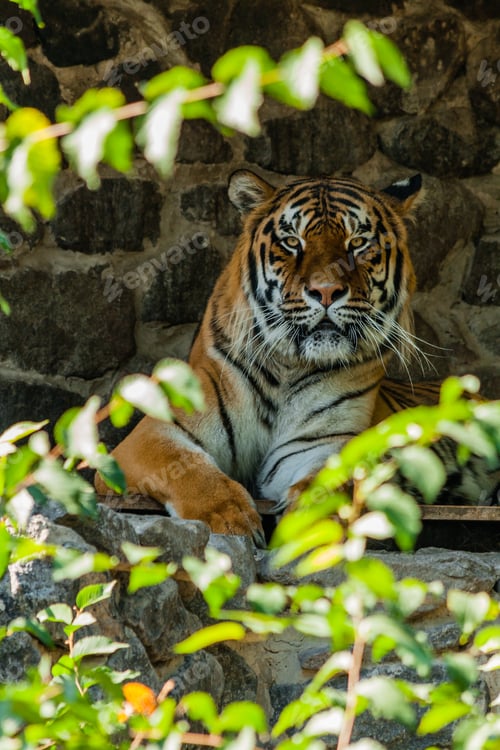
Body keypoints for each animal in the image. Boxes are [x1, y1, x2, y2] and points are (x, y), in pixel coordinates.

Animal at [95, 169, 496, 545]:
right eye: (292, 242)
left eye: (357, 243)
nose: (326, 290)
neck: (287, 369)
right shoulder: (155, 432)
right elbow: (189, 467)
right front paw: (229, 518)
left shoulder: (325, 443)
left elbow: (330, 482)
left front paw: (311, 524)